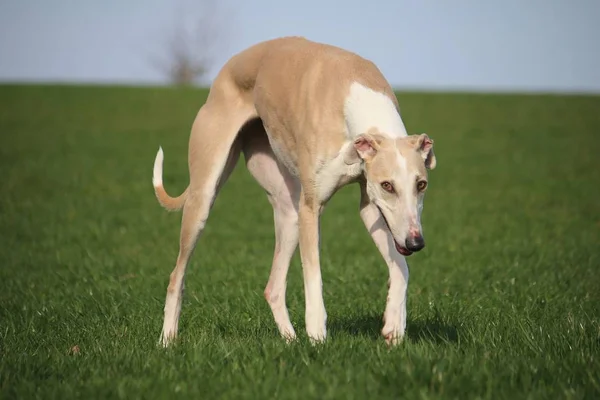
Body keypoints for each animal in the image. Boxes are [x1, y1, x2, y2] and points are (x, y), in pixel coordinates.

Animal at [152, 36, 436, 346]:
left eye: (421, 184)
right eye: (388, 186)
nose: (416, 243)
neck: (357, 92)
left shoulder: (371, 204)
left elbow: (402, 268)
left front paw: (394, 324)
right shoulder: (312, 207)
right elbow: (314, 277)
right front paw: (317, 336)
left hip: (288, 212)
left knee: (273, 287)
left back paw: (290, 339)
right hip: (205, 193)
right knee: (176, 277)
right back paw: (167, 340)